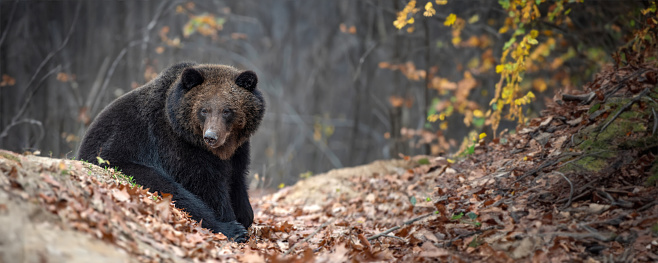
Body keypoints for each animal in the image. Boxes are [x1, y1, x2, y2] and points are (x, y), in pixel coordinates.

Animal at [76, 62, 262, 243]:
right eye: (204, 110)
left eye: (227, 110)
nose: (211, 137)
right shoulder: (177, 146)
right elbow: (206, 185)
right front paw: (232, 222)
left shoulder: (238, 151)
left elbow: (237, 178)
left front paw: (245, 214)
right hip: (119, 161)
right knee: (169, 189)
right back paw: (232, 230)